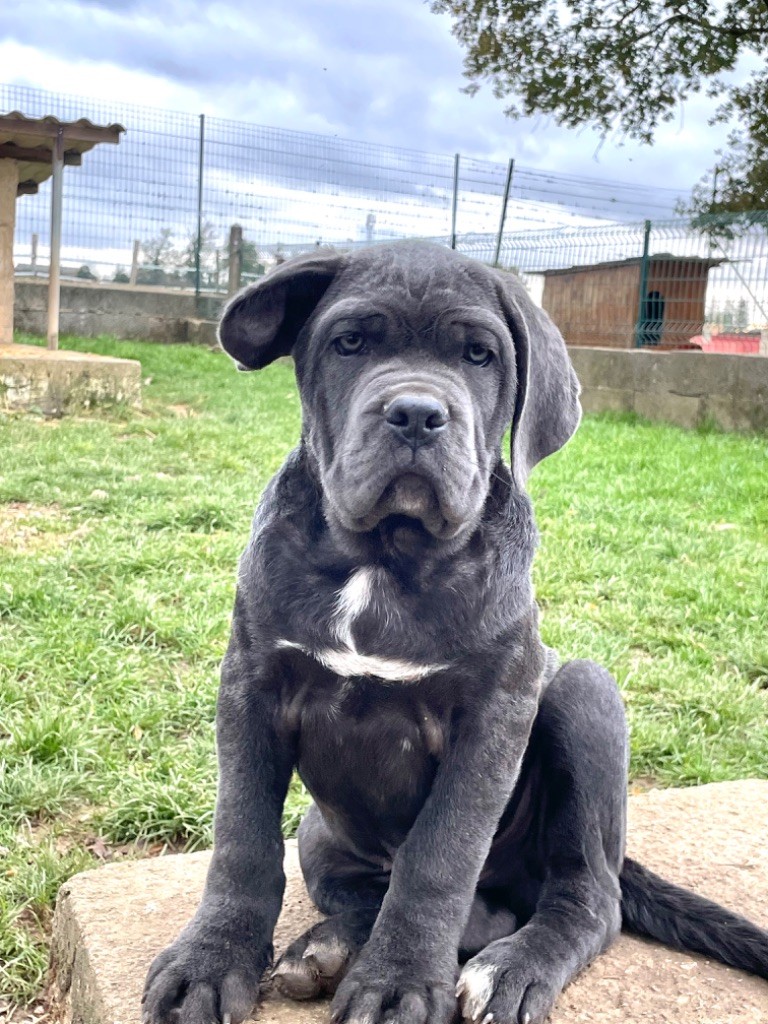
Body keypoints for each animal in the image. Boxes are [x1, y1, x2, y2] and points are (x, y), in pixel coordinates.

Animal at [141, 239, 765, 1024]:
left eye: (479, 355)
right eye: (351, 343)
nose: (415, 413)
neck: (388, 555)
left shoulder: (494, 711)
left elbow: (438, 855)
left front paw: (399, 982)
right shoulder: (251, 684)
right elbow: (242, 839)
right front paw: (209, 961)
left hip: (583, 694)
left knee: (581, 899)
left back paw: (507, 966)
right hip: (319, 832)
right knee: (407, 896)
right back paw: (330, 948)